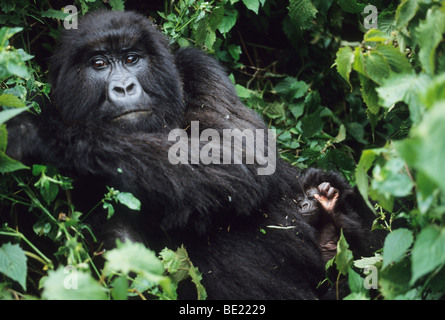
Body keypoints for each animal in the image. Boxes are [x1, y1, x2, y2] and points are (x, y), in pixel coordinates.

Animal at [6, 10, 324, 300]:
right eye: (99, 64)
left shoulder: (199, 66)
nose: (124, 87)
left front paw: (46, 135)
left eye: (132, 59)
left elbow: (238, 154)